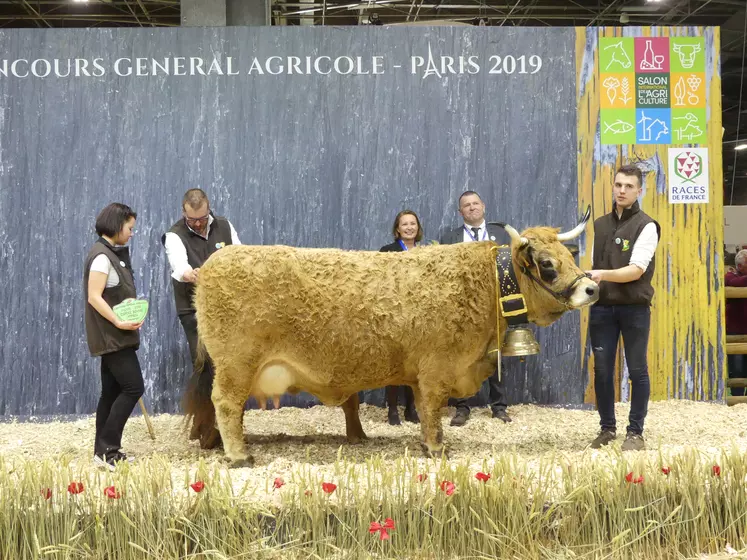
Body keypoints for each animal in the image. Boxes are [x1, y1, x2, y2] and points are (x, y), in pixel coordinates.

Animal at [194, 210, 600, 464]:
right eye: (547, 265)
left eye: (569, 255)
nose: (592, 288)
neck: (482, 284)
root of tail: (213, 263)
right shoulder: (436, 368)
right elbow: (432, 410)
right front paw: (436, 449)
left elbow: (422, 410)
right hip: (236, 364)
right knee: (226, 404)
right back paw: (239, 455)